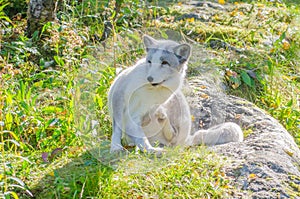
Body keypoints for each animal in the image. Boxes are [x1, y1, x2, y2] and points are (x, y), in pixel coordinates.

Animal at [108, 35, 244, 153]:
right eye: (149, 61)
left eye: (164, 63)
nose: (149, 78)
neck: (150, 90)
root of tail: (187, 140)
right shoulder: (119, 97)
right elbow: (118, 129)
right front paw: (116, 147)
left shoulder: (142, 111)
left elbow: (142, 134)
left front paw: (149, 148)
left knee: (171, 137)